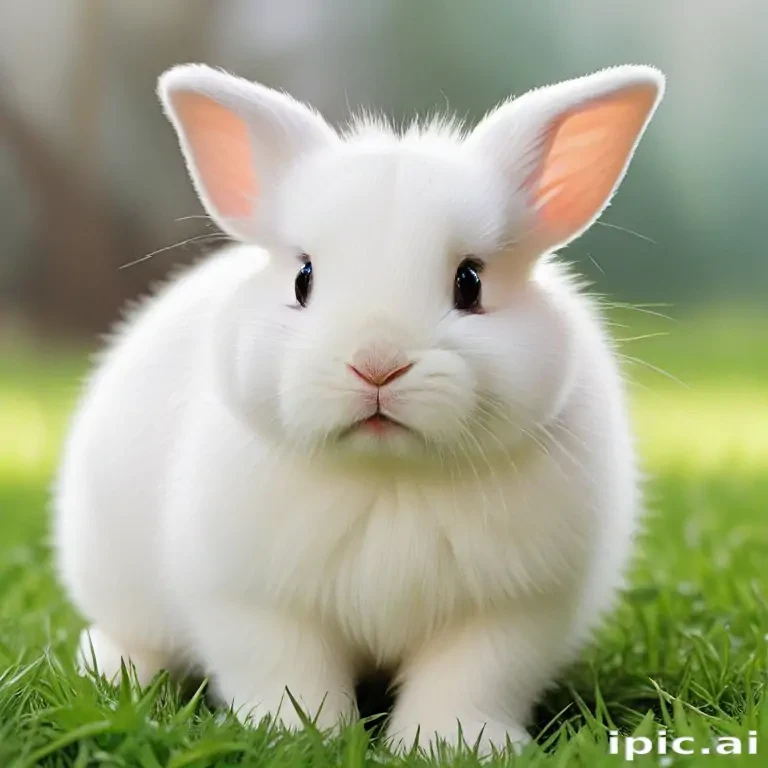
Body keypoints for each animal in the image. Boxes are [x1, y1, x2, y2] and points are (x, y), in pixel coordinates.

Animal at [53, 63, 664, 755]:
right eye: (303, 279)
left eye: (471, 281)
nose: (376, 363)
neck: (388, 479)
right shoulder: (256, 606)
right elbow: (286, 673)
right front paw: (299, 735)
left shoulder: (508, 615)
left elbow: (471, 682)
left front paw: (452, 745)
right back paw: (115, 671)